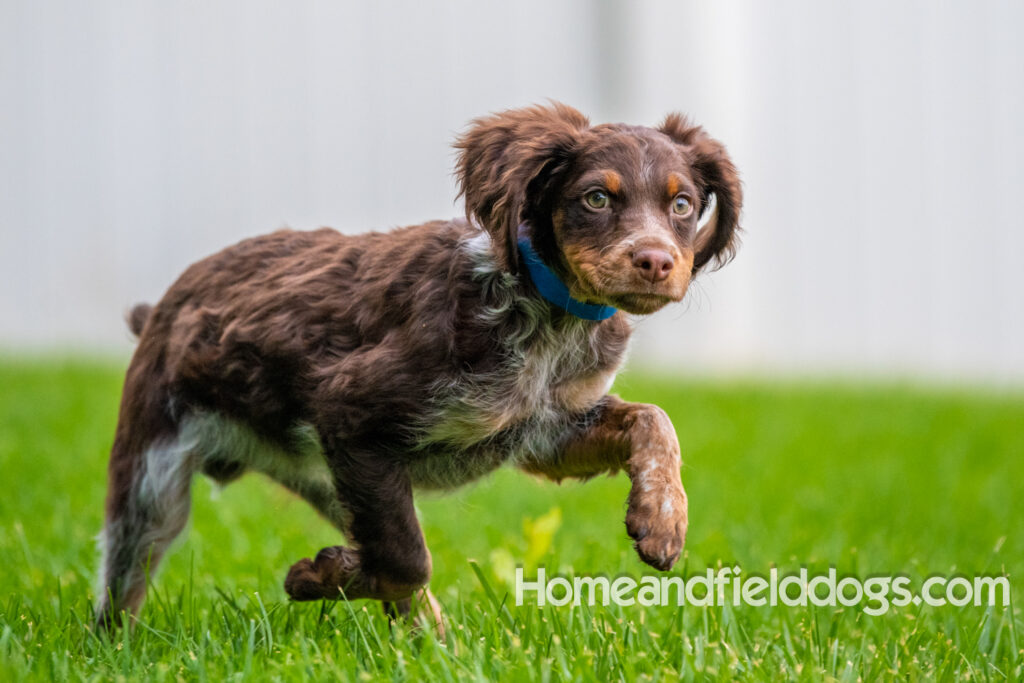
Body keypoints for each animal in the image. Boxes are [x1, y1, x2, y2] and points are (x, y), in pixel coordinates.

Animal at [92, 102, 741, 630]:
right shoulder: (350, 409)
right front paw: (322, 577)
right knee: (123, 582)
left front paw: (662, 518)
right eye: (597, 198)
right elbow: (407, 560)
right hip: (155, 476)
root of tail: (164, 304)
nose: (656, 262)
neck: (545, 311)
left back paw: (429, 634)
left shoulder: (545, 431)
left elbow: (653, 420)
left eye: (682, 204)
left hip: (330, 478)